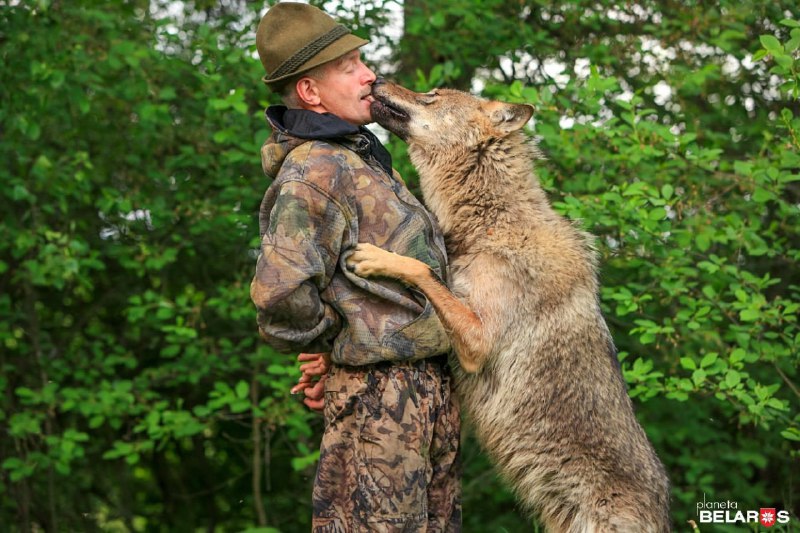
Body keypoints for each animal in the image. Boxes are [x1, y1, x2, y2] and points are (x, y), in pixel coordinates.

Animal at [346, 80, 672, 532]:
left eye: (433, 94)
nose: (375, 81)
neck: (495, 222)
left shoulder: (478, 341)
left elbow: (421, 270)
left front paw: (376, 257)